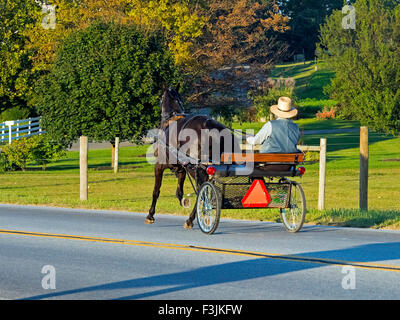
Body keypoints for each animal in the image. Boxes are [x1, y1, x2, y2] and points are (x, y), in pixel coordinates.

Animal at [146, 84, 241, 230]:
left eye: (160, 98)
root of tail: (213, 128)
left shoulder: (159, 166)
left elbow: (156, 191)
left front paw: (150, 215)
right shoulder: (182, 169)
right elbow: (179, 191)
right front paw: (183, 201)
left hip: (197, 168)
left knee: (201, 190)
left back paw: (191, 219)